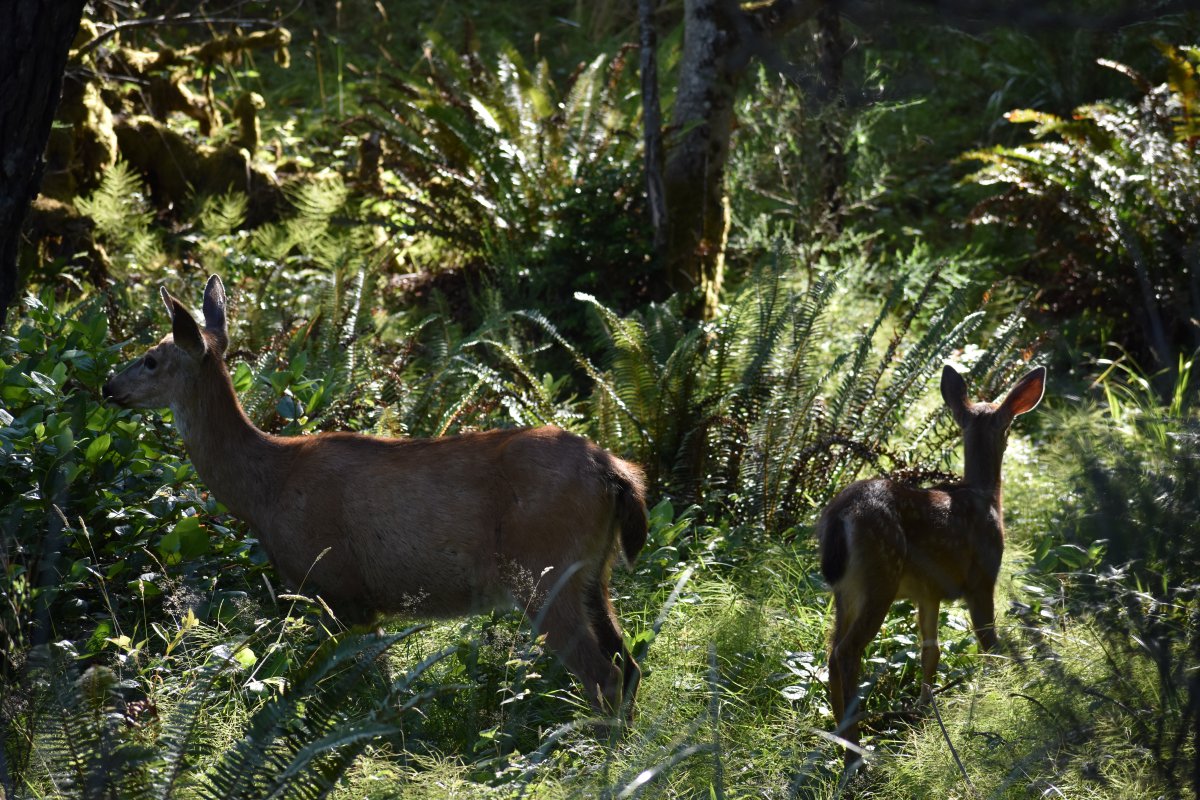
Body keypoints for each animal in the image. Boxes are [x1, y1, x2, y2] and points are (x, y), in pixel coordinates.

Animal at [103, 277, 648, 719]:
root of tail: (614, 471)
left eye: (151, 358)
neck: (265, 488)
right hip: (592, 573)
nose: (109, 386)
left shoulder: (340, 586)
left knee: (604, 675)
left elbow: (366, 687)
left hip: (542, 571)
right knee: (629, 664)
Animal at [820, 367, 1046, 767]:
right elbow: (989, 642)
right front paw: (1000, 692)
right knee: (846, 653)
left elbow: (930, 652)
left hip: (846, 591)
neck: (985, 497)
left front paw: (925, 710)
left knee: (832, 652)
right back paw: (855, 753)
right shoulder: (981, 578)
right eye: (1008, 426)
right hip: (880, 575)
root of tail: (840, 515)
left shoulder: (928, 593)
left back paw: (840, 737)